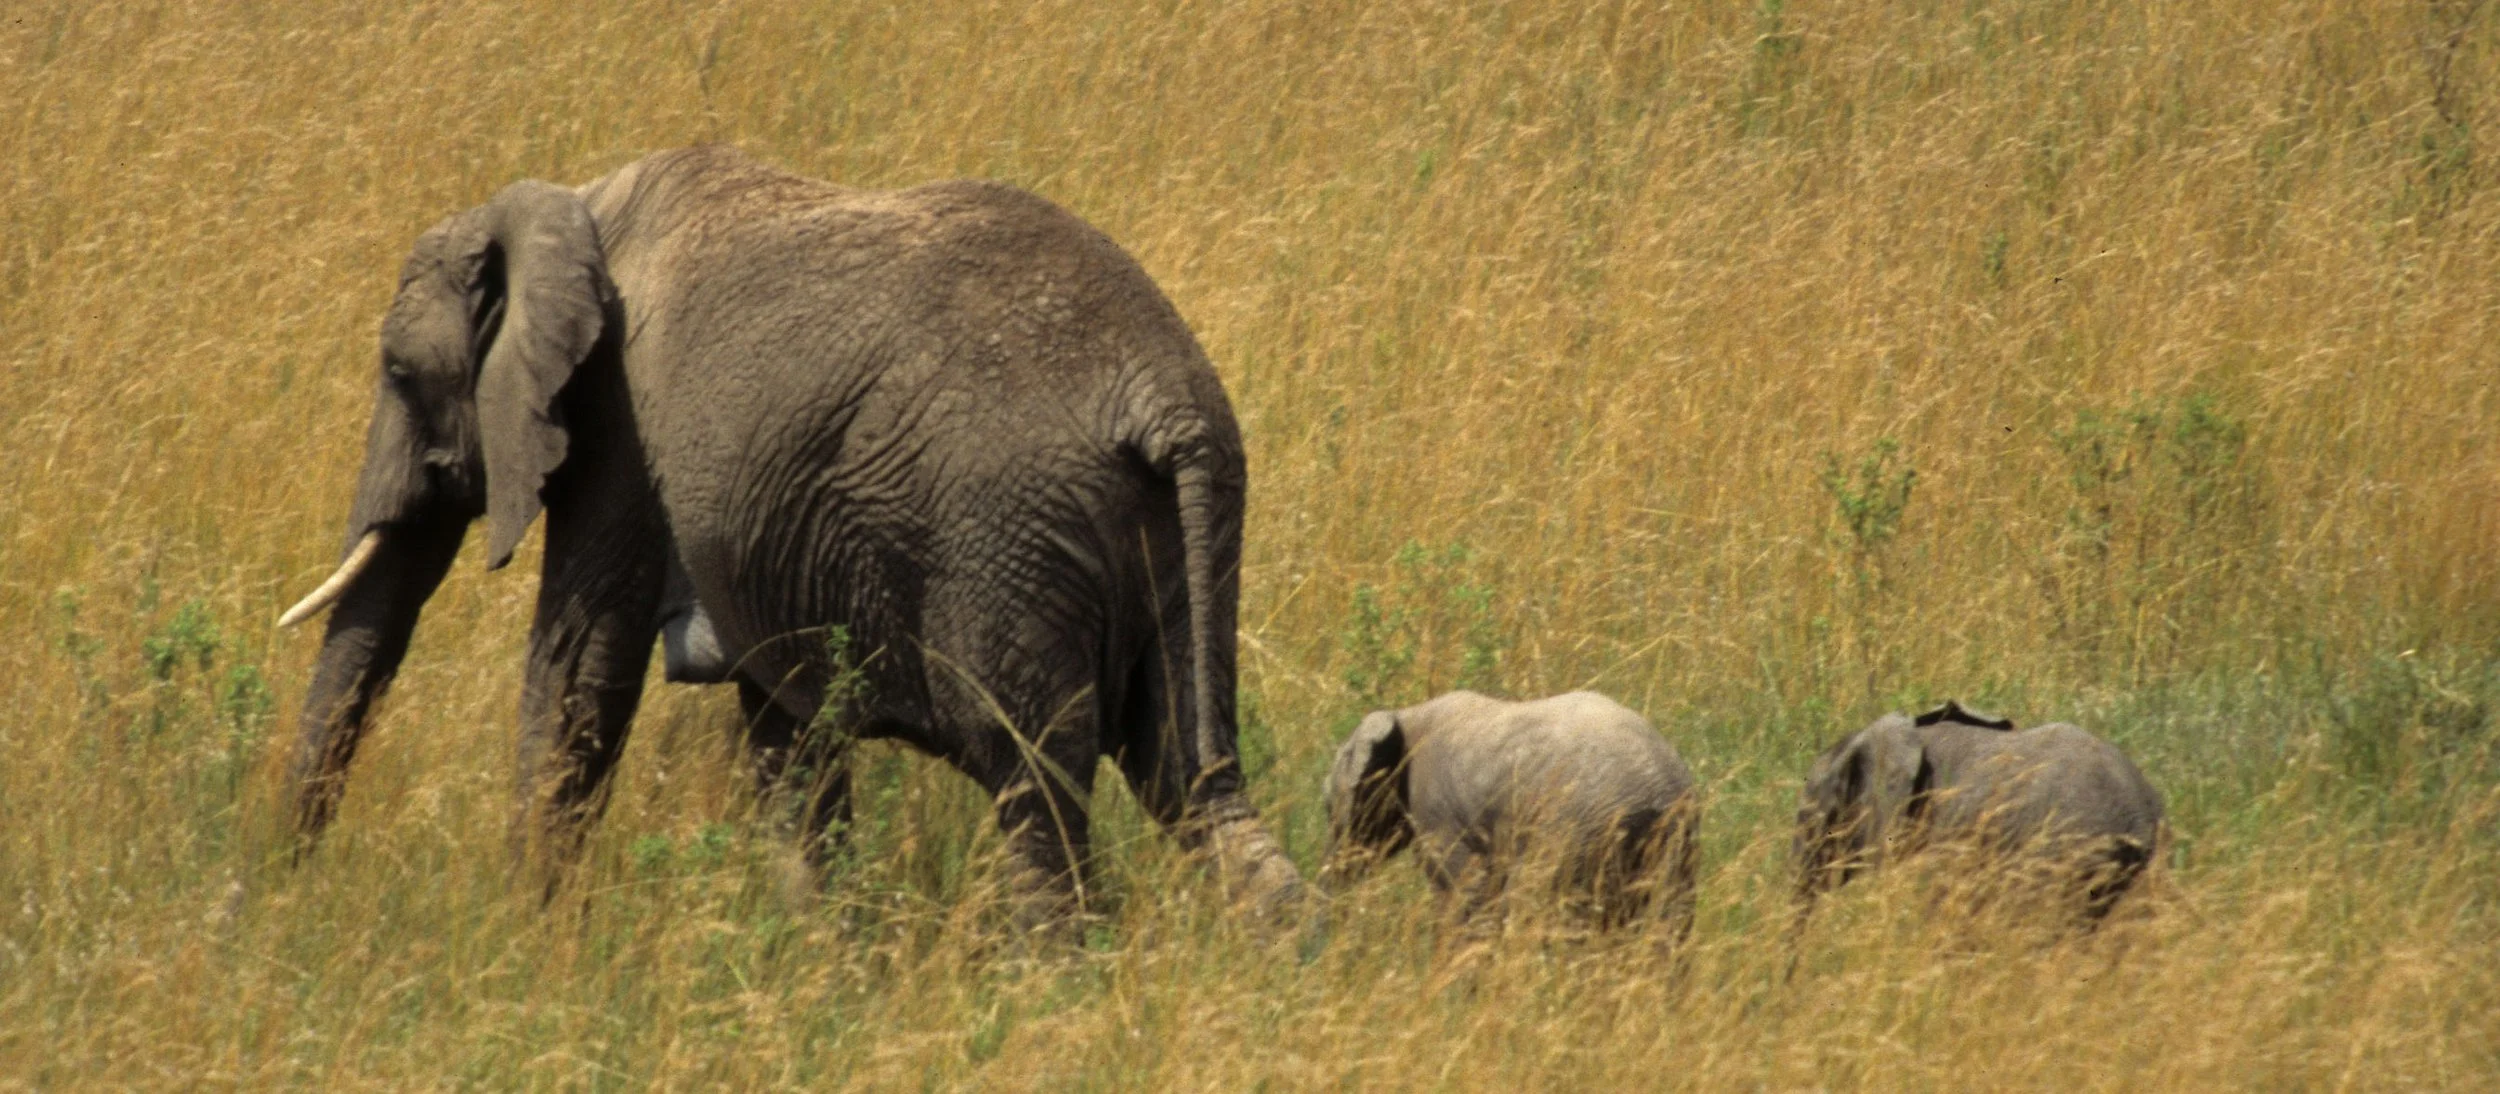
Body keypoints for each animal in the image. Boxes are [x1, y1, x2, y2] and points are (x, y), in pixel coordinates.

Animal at [275, 145, 1303, 920]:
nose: (285, 890)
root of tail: (1163, 400)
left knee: (1035, 782)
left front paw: (527, 933)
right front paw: (823, 958)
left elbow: (579, 672)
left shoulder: (619, 437)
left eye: (398, 372)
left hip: (1008, 541)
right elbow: (786, 739)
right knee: (1188, 775)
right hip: (1187, 532)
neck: (574, 205)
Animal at [1322, 690, 1701, 931]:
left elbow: (1463, 892)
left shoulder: (1438, 814)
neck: (1408, 715)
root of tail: (1659, 789)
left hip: (1575, 832)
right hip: (1673, 841)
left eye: (1326, 807)